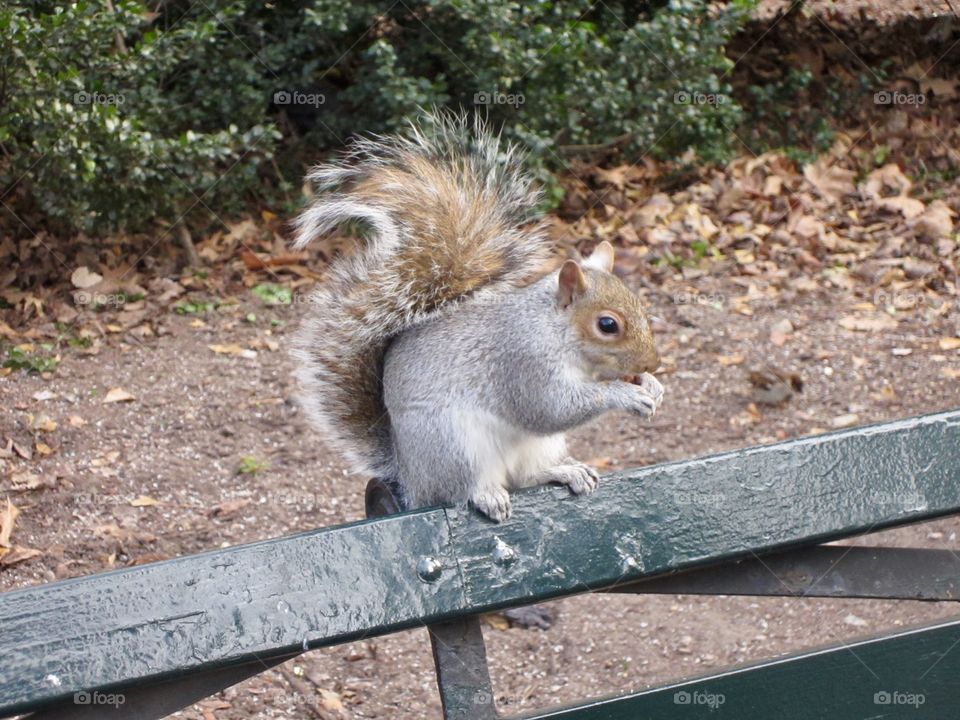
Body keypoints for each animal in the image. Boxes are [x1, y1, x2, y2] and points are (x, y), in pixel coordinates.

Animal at [292, 111, 663, 522]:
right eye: (607, 325)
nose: (653, 362)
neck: (554, 330)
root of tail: (412, 482)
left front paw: (651, 386)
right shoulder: (520, 362)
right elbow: (550, 407)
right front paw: (626, 395)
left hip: (537, 446)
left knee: (527, 475)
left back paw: (565, 471)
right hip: (454, 444)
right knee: (461, 490)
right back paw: (486, 495)